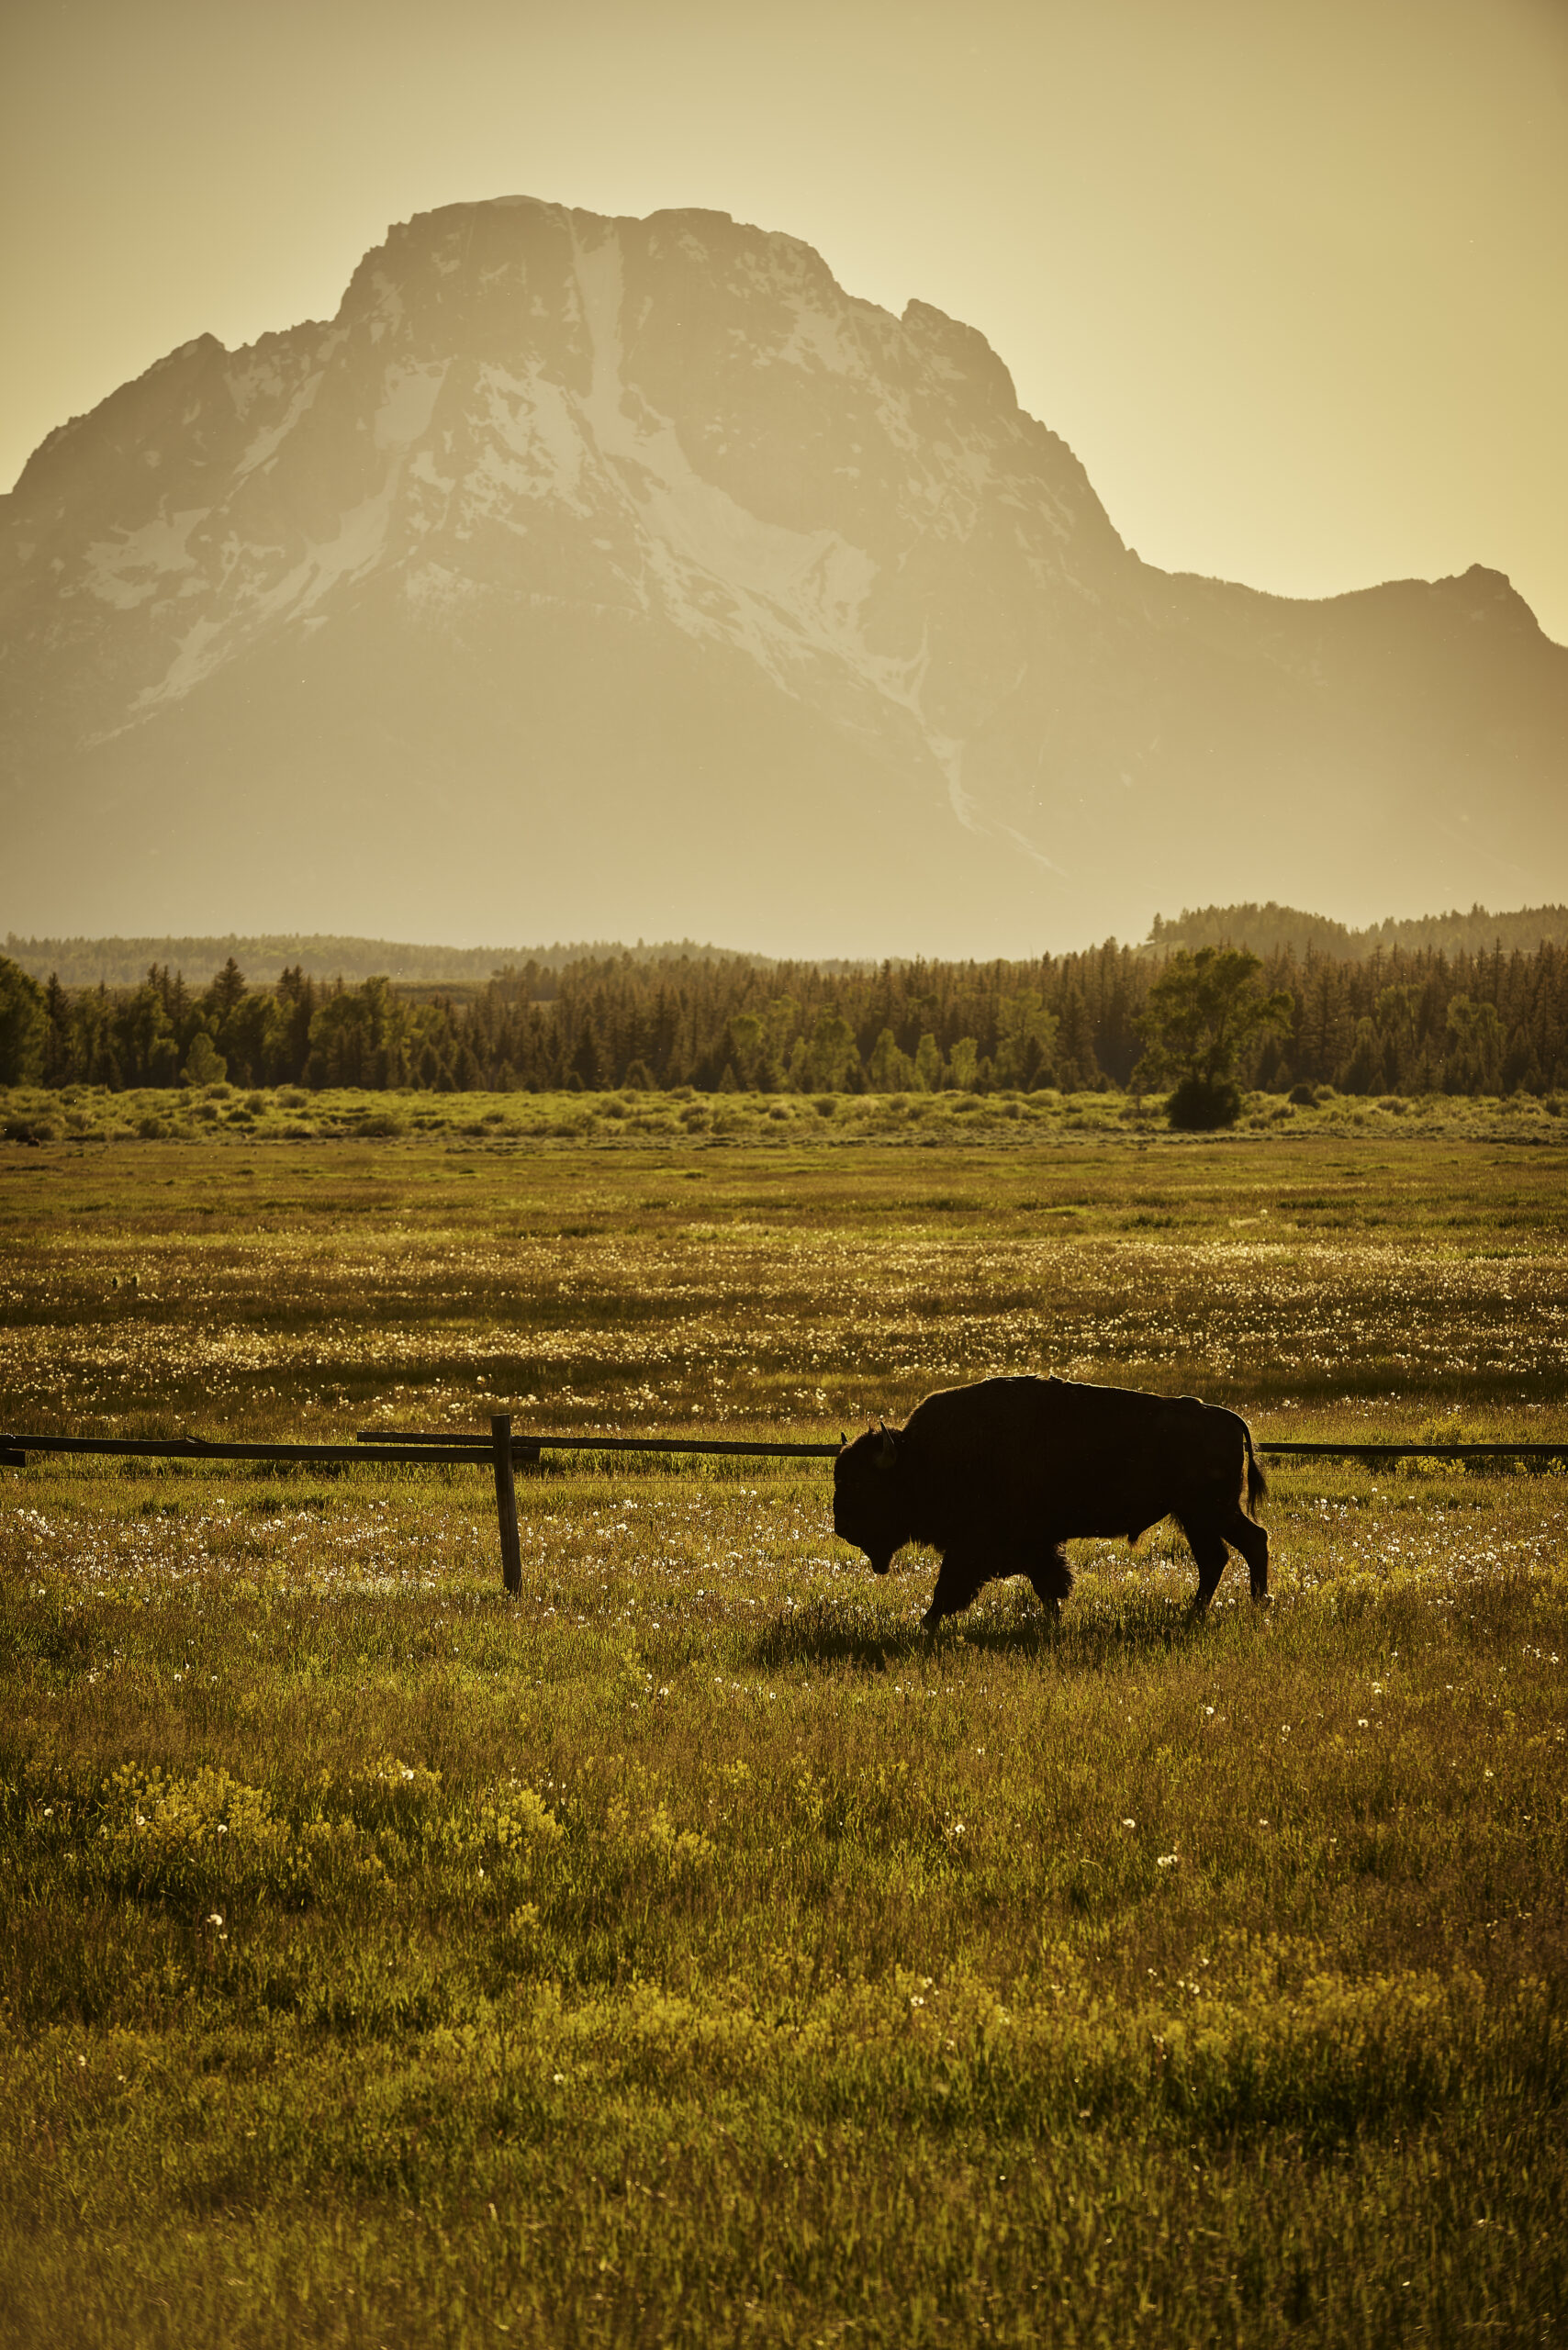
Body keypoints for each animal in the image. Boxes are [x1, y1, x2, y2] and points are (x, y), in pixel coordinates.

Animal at [833, 1373, 1269, 1627]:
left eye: (862, 1484)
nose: (841, 1528)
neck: (923, 1456)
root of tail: (1229, 1418)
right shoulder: (1031, 1548)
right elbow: (1048, 1585)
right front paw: (1054, 1622)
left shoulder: (977, 1547)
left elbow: (951, 1587)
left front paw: (925, 1622)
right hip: (1197, 1516)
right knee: (1223, 1555)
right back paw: (1212, 1610)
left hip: (1208, 1511)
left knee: (1246, 1544)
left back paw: (1249, 1605)